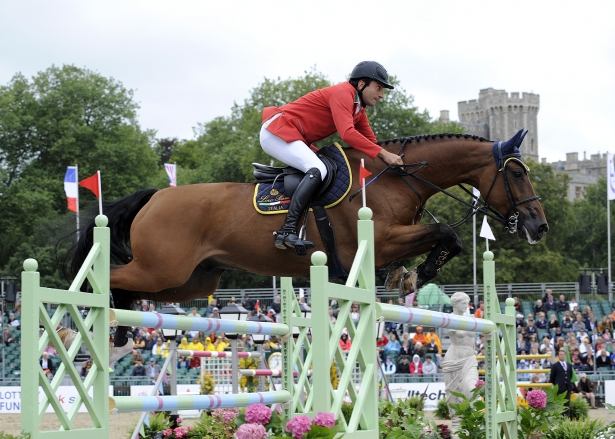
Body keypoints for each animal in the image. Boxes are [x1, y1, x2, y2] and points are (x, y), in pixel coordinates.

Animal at [71, 129, 548, 346]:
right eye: (517, 175)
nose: (539, 226)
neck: (399, 179)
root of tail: (155, 197)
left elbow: (444, 239)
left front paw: (408, 276)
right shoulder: (381, 241)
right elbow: (446, 232)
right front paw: (419, 272)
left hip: (190, 282)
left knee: (134, 287)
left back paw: (120, 328)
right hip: (162, 269)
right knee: (108, 277)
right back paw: (99, 324)